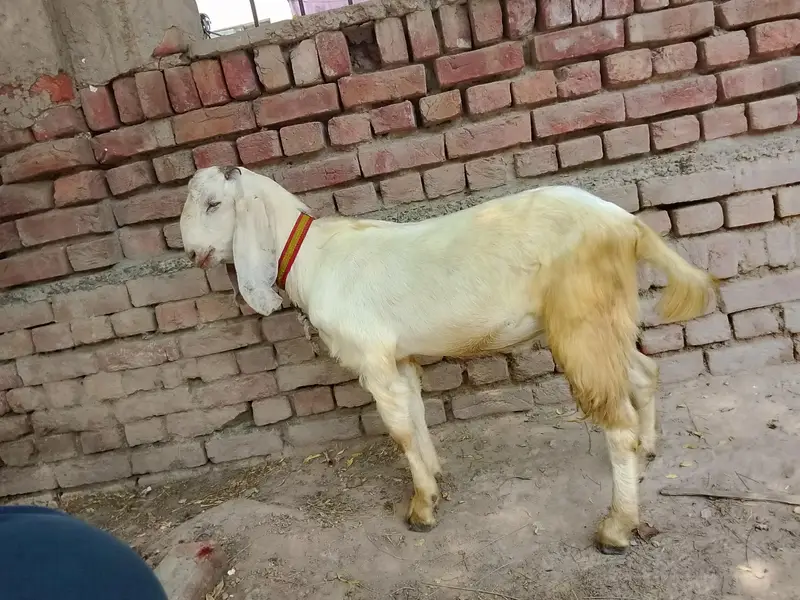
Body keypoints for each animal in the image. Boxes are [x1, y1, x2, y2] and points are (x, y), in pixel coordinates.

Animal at [180, 165, 717, 554]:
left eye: (213, 204)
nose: (191, 254)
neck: (314, 255)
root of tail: (627, 224)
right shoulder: (399, 358)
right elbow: (415, 414)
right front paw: (435, 477)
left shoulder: (372, 356)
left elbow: (398, 429)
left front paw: (421, 509)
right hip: (608, 319)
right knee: (644, 373)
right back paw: (649, 451)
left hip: (581, 318)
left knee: (616, 420)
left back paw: (616, 527)